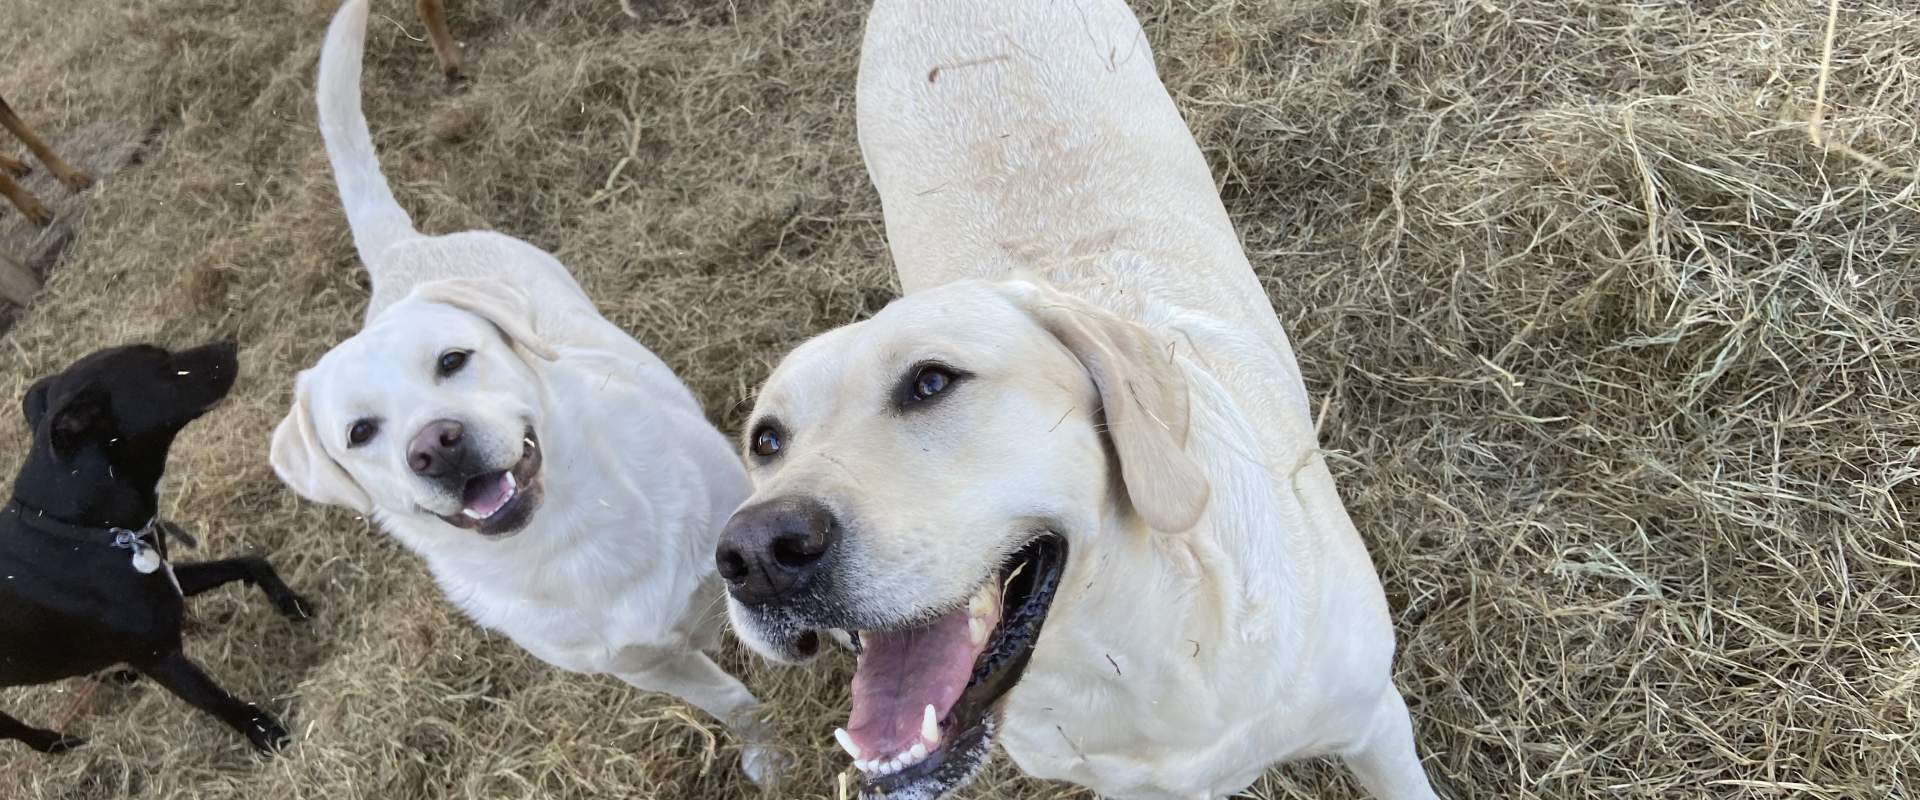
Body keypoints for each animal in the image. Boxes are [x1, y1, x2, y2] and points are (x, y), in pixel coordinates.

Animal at [0, 339, 312, 752]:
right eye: (163, 367)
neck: (80, 528)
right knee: (18, 731)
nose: (229, 343)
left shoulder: (168, 577)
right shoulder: (159, 657)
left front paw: (291, 602)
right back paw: (58, 744)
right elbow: (222, 702)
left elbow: (250, 562)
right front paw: (270, 737)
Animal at [270, 0, 779, 778]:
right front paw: (771, 751)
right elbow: (733, 703)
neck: (570, 535)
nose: (435, 445)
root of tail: (400, 250)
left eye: (453, 359)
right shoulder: (646, 666)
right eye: (360, 432)